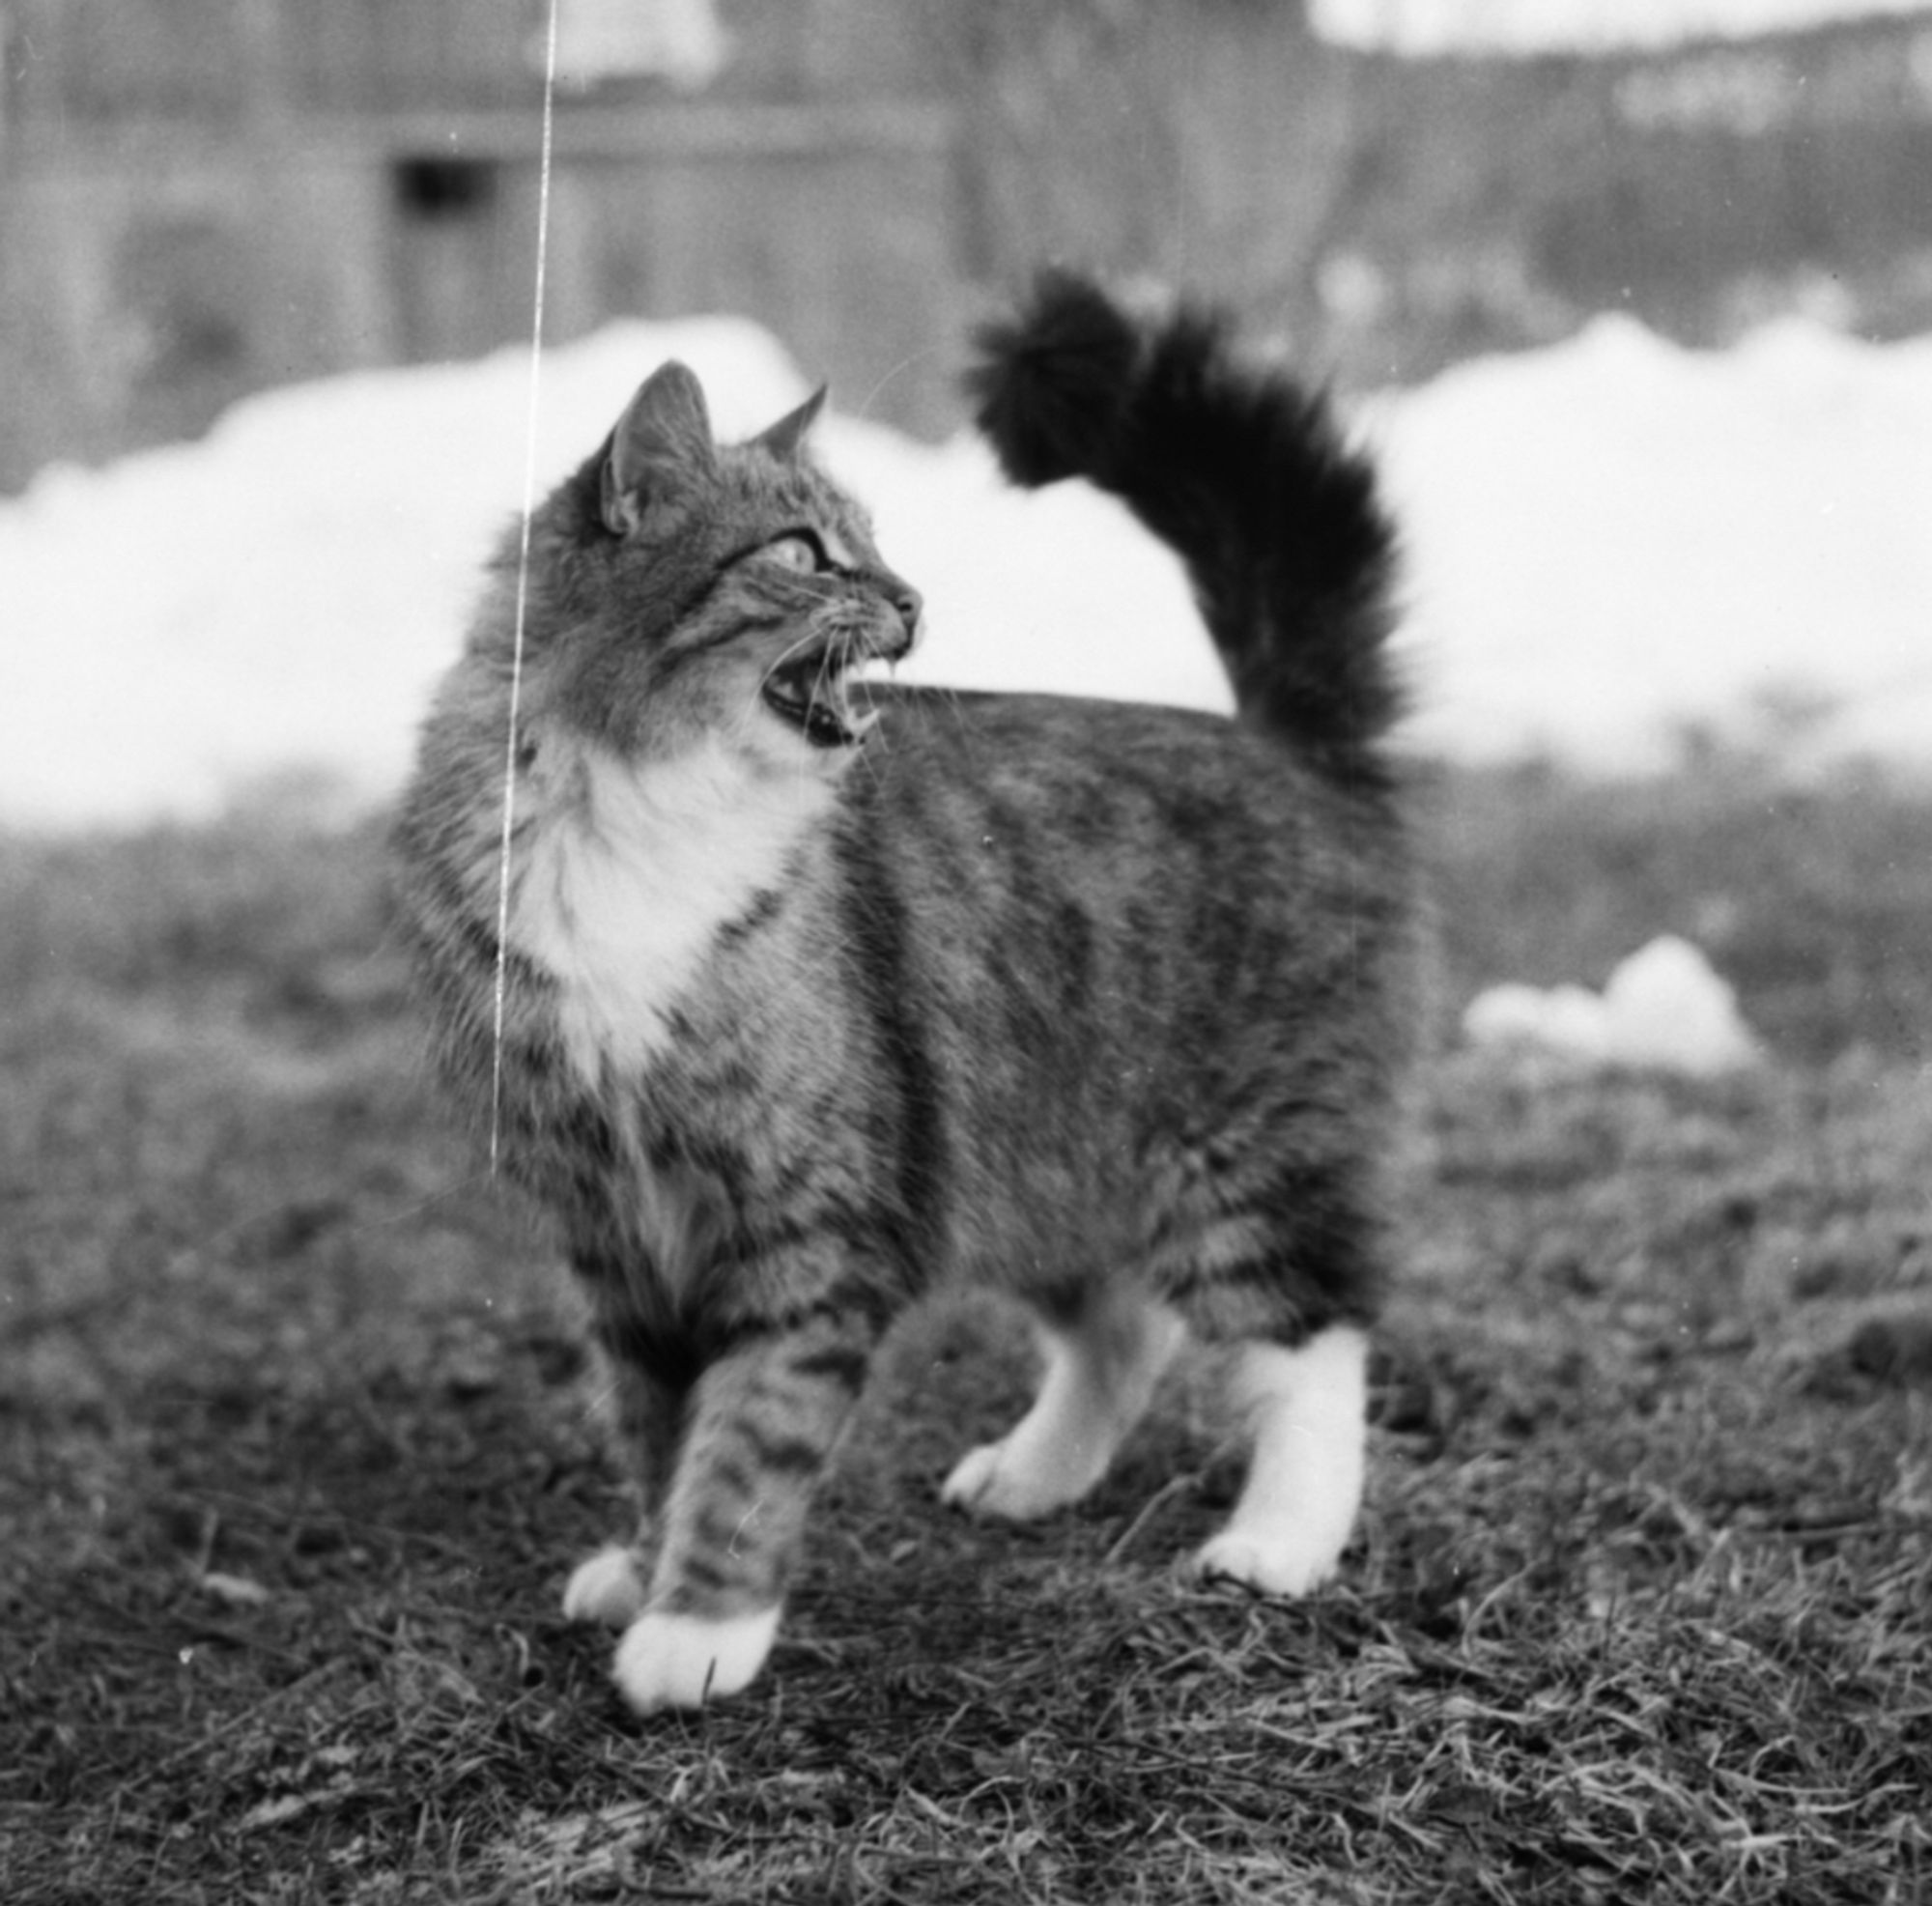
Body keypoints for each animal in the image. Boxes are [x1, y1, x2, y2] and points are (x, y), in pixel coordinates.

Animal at [396, 263, 1422, 1708]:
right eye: (804, 554)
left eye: (871, 546)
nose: (917, 600)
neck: (643, 807)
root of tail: (1280, 738)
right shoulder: (611, 1224)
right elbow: (658, 1429)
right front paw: (648, 1570)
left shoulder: (809, 1215)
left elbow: (748, 1436)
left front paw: (700, 1627)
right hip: (1039, 1145)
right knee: (1125, 1333)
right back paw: (1033, 1478)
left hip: (1247, 1157)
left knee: (1308, 1346)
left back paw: (1277, 1545)